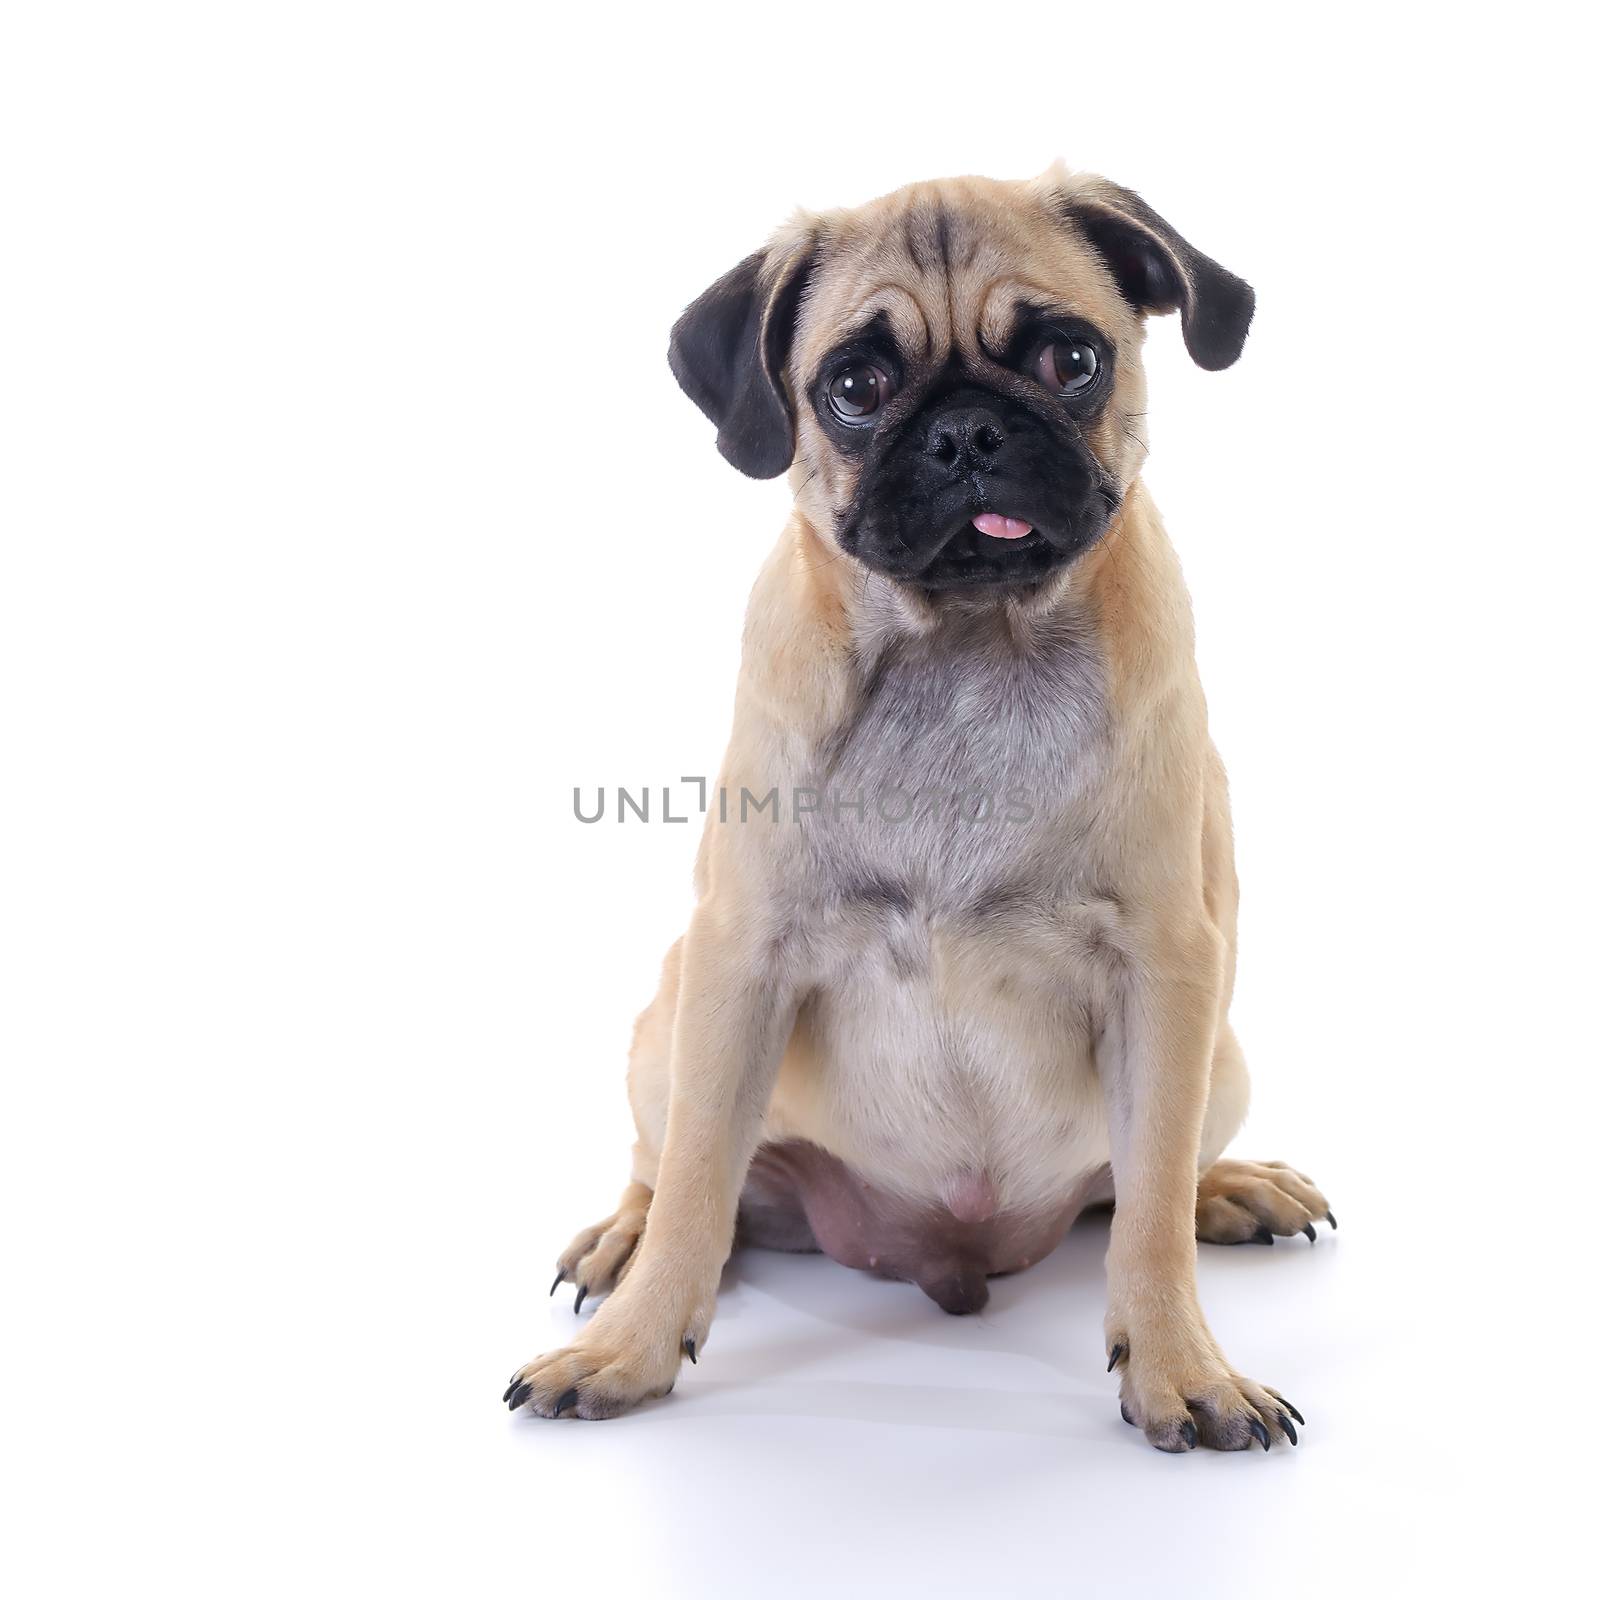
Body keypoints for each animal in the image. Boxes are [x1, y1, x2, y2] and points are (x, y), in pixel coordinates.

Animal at [505, 165, 1331, 1452]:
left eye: (1070, 360)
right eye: (856, 387)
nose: (965, 432)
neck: (970, 644)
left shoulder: (1166, 974)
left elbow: (1147, 1213)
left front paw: (1180, 1365)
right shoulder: (739, 964)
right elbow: (695, 1180)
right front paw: (629, 1349)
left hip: (1222, 1056)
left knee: (1148, 1182)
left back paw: (1229, 1189)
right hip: (666, 1021)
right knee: (671, 1164)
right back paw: (622, 1237)